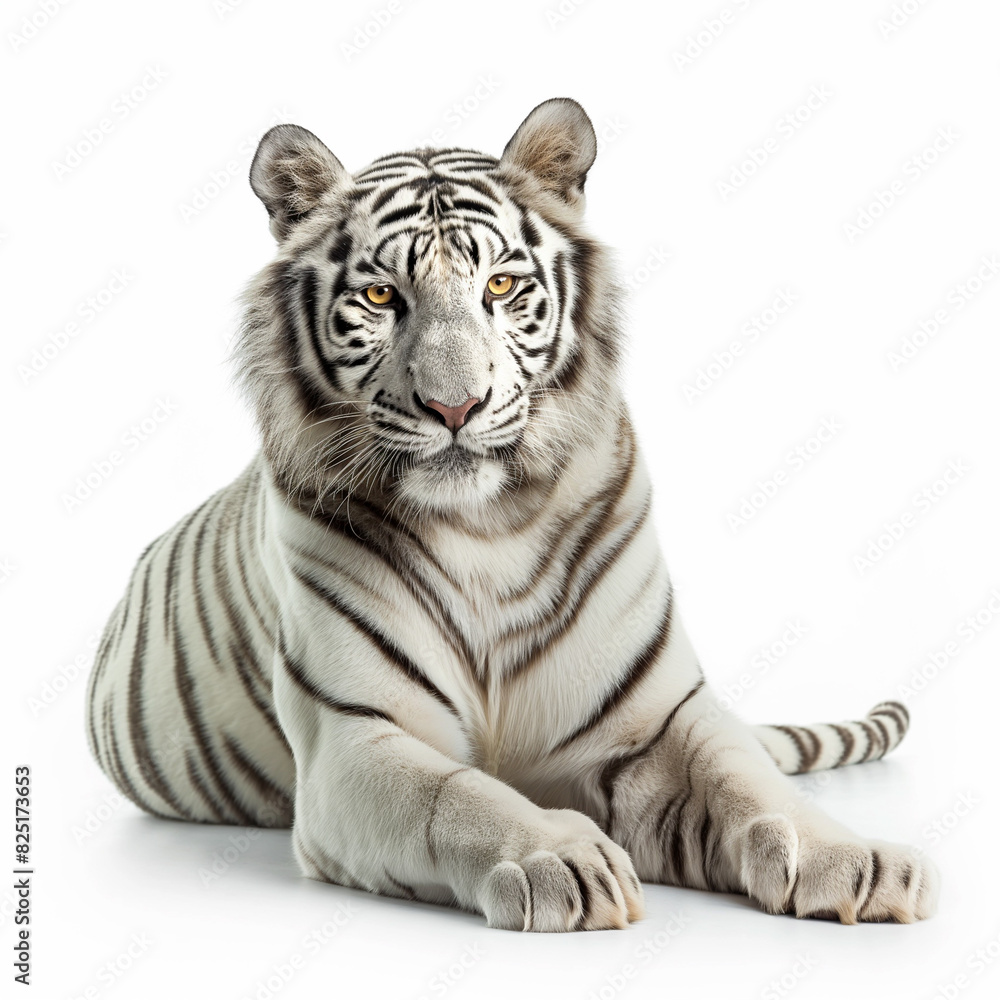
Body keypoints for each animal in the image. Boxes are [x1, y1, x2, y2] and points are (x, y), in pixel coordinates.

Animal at [85, 98, 939, 931]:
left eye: (498, 286)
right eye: (381, 296)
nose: (454, 407)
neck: (486, 527)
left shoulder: (659, 719)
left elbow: (748, 783)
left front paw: (851, 859)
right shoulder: (353, 737)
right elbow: (453, 795)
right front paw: (558, 859)